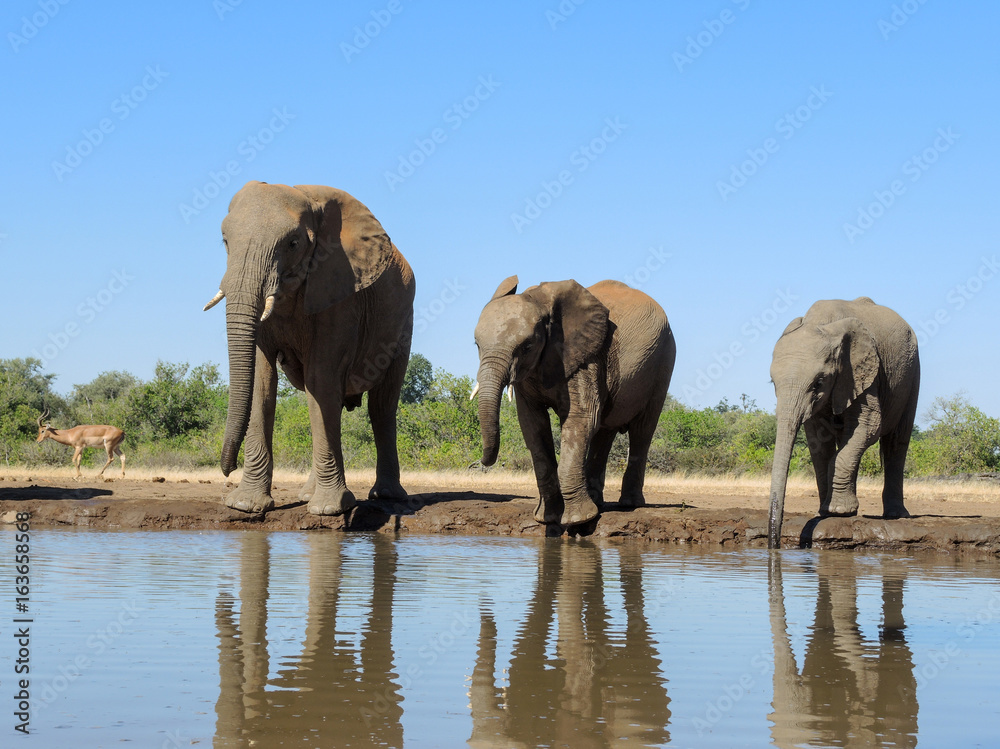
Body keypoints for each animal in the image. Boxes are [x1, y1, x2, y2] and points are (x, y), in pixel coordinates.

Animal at [204, 181, 414, 515]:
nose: (227, 470)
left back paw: (386, 496)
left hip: (403, 322)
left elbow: (322, 377)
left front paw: (329, 510)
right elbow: (262, 382)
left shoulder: (341, 291)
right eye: (225, 241)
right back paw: (306, 495)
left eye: (293, 243)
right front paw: (245, 505)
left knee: (381, 406)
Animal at [473, 276, 676, 527]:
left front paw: (577, 521)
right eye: (477, 345)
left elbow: (581, 418)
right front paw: (548, 518)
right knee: (604, 432)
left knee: (642, 430)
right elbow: (533, 426)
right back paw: (598, 502)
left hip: (663, 361)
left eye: (527, 346)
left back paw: (630, 504)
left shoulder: (586, 358)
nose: (482, 462)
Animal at [768, 297, 919, 548]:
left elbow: (869, 425)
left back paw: (895, 516)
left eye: (818, 383)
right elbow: (818, 441)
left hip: (912, 372)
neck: (820, 323)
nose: (773, 545)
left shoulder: (864, 373)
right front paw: (826, 512)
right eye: (772, 383)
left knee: (897, 442)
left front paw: (837, 511)